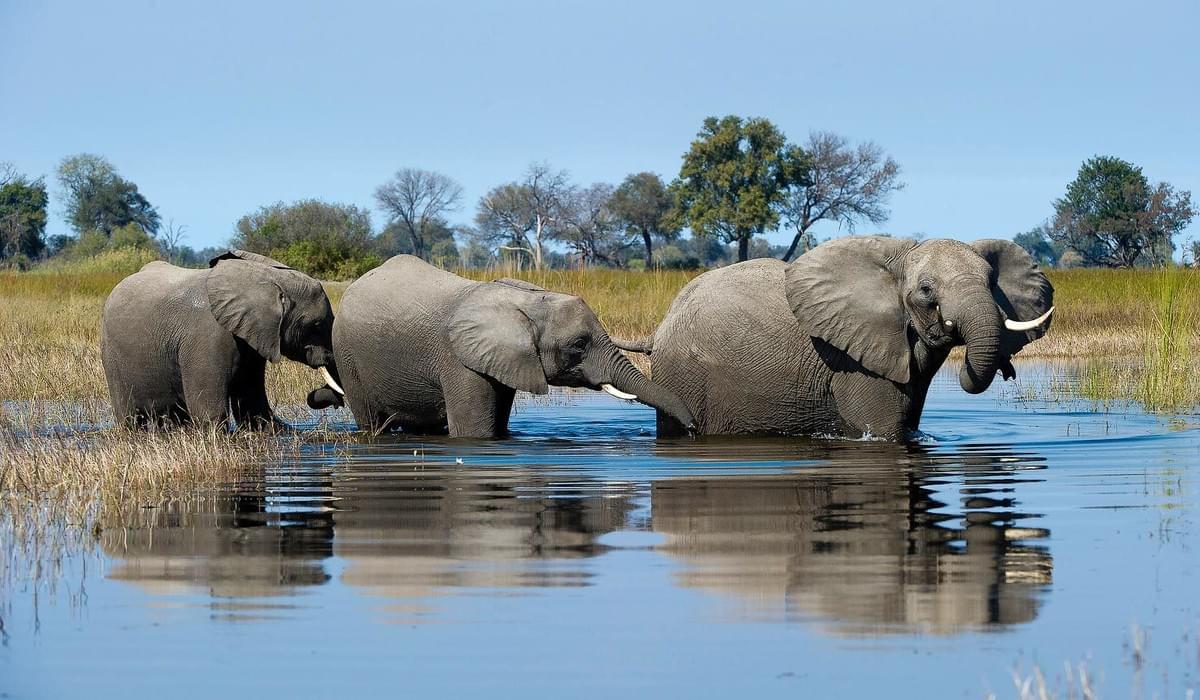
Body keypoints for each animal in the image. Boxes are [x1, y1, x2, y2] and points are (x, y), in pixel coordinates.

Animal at [101, 250, 342, 429]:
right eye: (316, 325)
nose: (336, 403)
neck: (263, 280)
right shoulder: (208, 336)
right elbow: (209, 413)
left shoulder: (252, 337)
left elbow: (252, 405)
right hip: (111, 357)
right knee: (129, 417)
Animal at [309, 254, 696, 437]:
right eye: (578, 345)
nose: (693, 429)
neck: (527, 301)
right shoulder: (459, 361)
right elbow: (475, 433)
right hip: (348, 355)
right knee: (369, 420)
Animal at [651, 236, 1054, 440]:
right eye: (926, 291)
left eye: (992, 282)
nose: (1007, 370)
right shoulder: (853, 363)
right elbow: (887, 431)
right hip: (685, 376)